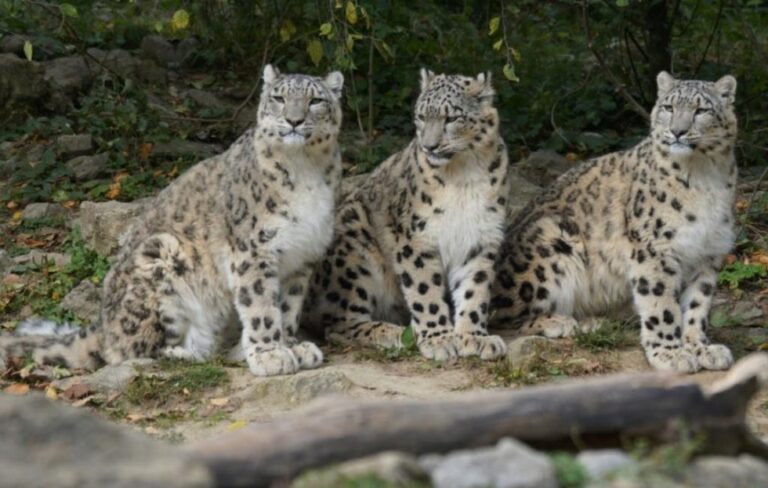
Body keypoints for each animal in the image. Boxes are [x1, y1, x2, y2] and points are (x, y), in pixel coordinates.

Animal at [0, 65, 345, 377]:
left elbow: (287, 308)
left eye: (315, 100)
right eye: (278, 98)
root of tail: (102, 324)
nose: (294, 120)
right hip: (162, 258)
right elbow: (261, 306)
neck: (306, 169)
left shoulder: (301, 257)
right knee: (129, 351)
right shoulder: (253, 249)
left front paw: (293, 346)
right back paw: (187, 353)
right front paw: (270, 354)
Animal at [303, 69, 510, 361]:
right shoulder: (416, 238)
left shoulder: (481, 236)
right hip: (354, 251)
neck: (463, 173)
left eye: (452, 118)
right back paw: (395, 333)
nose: (430, 146)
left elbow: (475, 288)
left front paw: (475, 337)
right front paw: (440, 339)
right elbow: (425, 290)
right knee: (338, 324)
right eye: (421, 116)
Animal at [491, 72, 738, 373]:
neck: (704, 175)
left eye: (701, 110)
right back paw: (560, 321)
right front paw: (671, 353)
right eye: (669, 107)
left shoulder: (708, 251)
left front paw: (701, 348)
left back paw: (591, 321)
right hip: (550, 240)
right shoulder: (654, 248)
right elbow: (661, 304)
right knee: (500, 316)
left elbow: (697, 305)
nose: (678, 131)